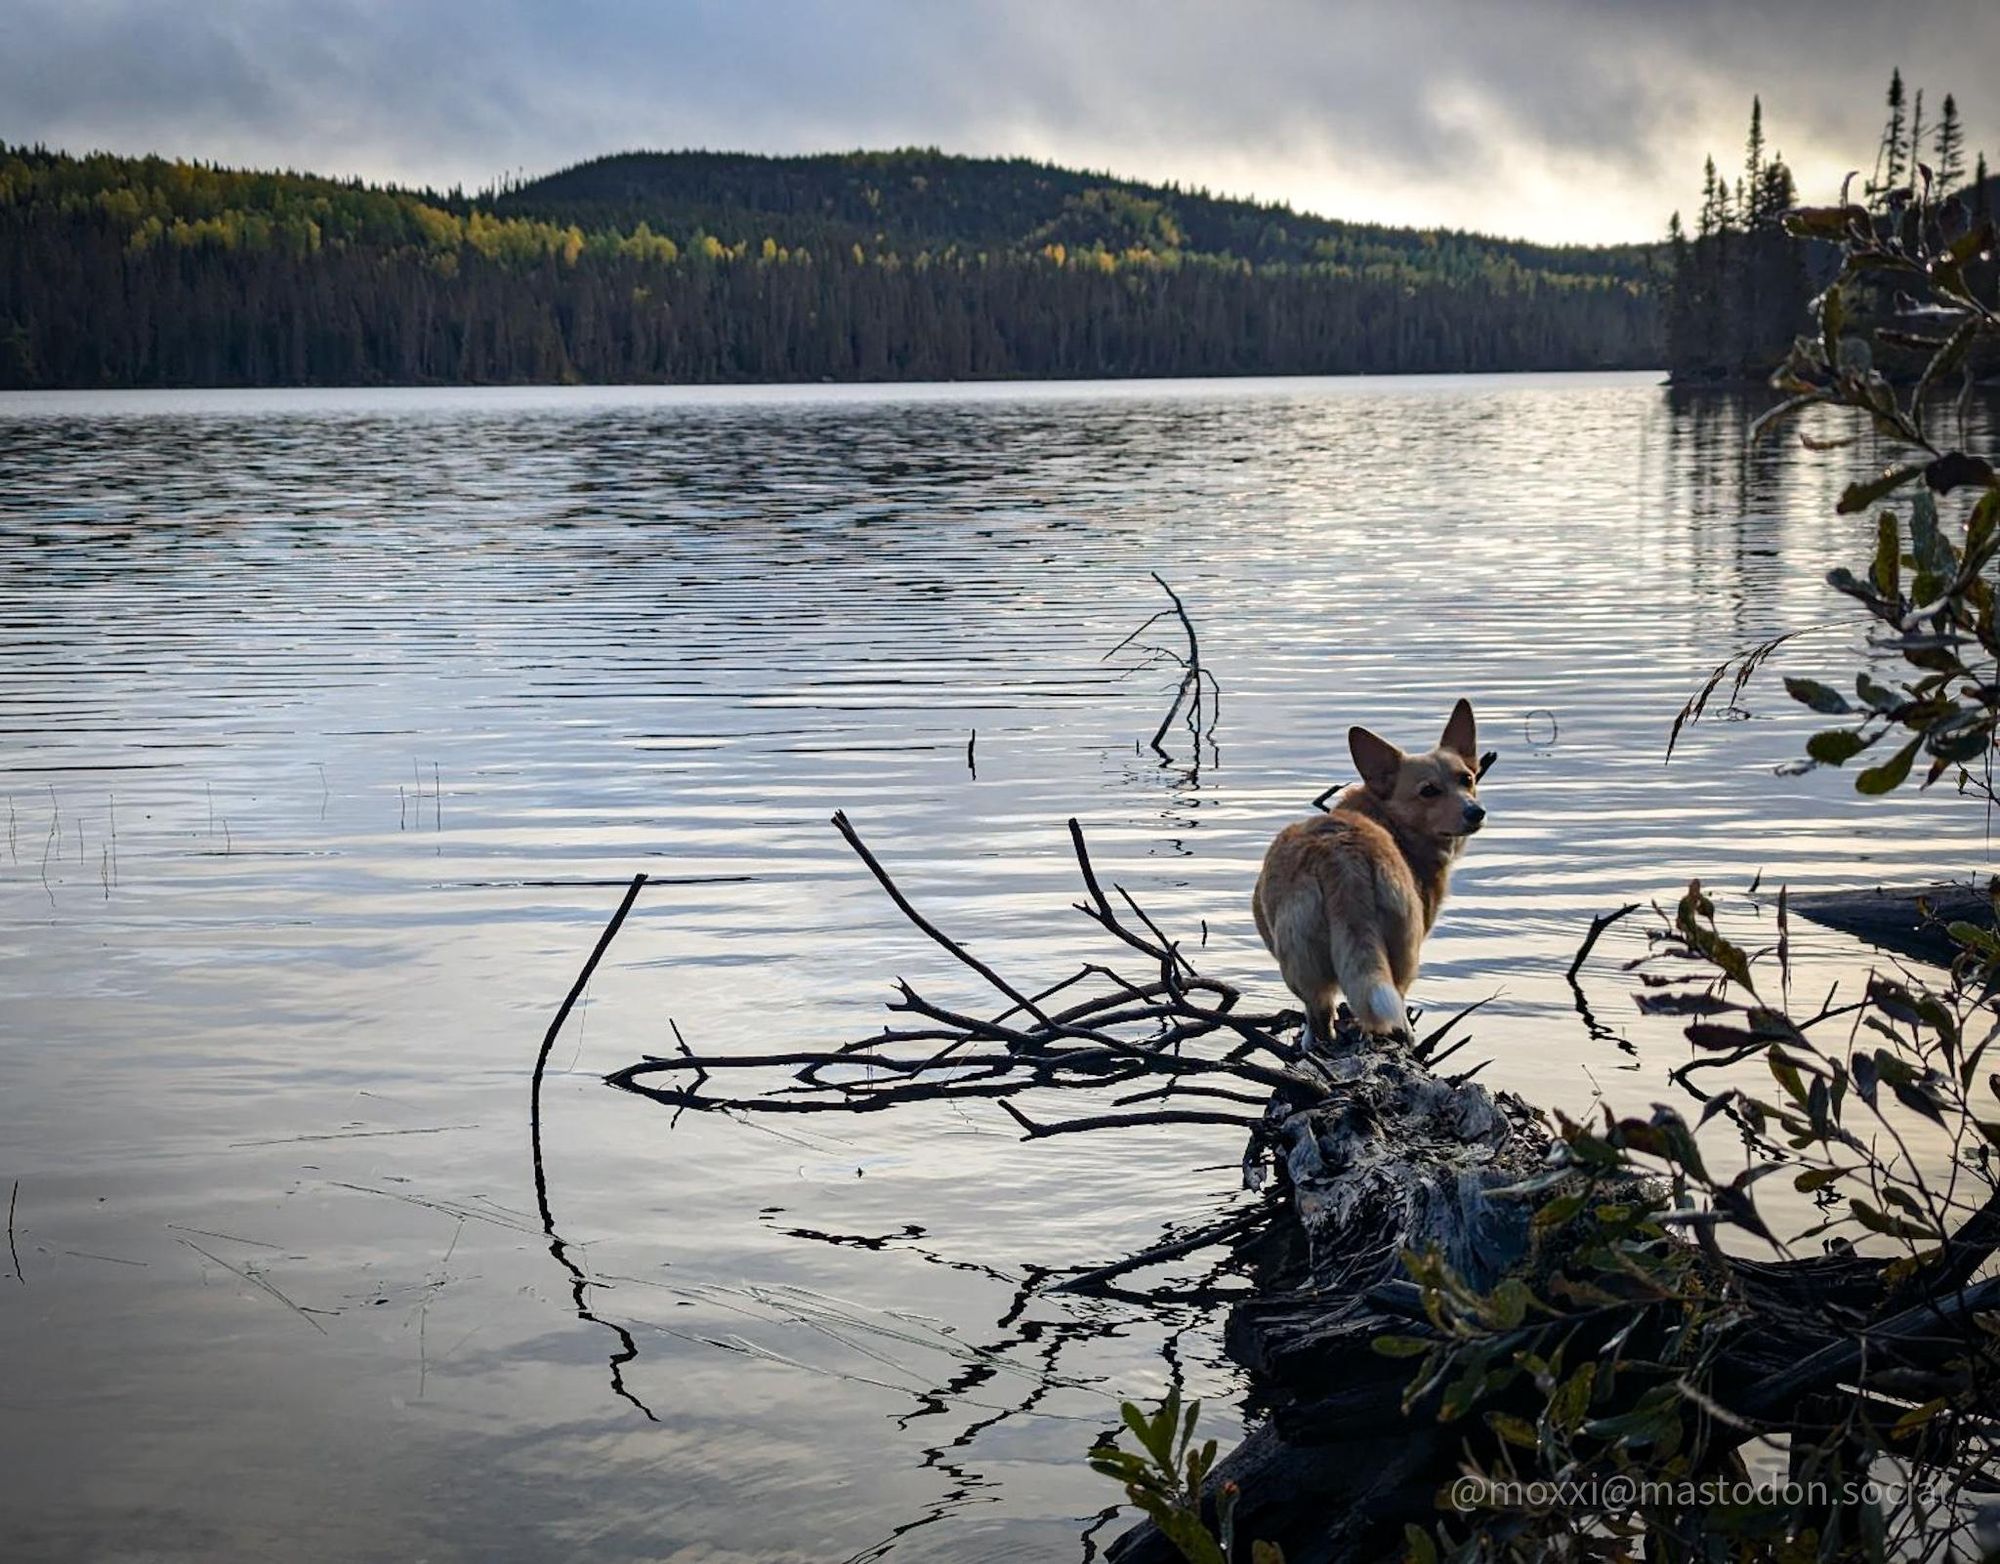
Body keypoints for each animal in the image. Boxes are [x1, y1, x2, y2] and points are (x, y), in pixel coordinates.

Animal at [1248, 704, 1488, 1048]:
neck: (1387, 817)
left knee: (1320, 1016)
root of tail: (1342, 858)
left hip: (1303, 967)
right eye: (1428, 791)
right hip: (1401, 952)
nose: (1475, 812)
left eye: (1466, 779)